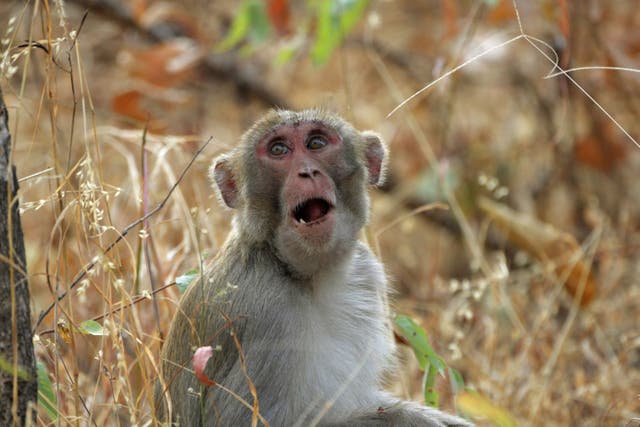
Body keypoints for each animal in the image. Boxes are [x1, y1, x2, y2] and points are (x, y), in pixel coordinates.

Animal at [157, 108, 472, 426]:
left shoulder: (366, 271)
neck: (307, 275)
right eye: (279, 150)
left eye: (316, 143)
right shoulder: (267, 315)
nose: (307, 172)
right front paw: (407, 419)